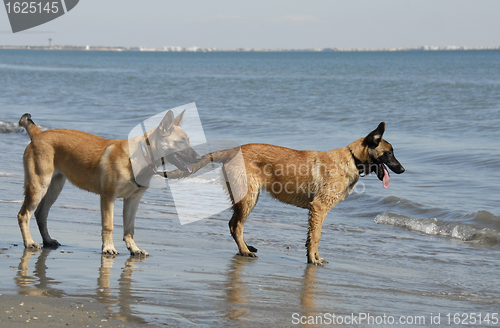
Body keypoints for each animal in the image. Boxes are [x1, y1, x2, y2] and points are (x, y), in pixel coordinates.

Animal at [17, 111, 201, 255]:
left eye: (188, 140)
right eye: (181, 142)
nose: (199, 158)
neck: (140, 155)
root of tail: (38, 134)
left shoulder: (132, 200)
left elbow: (129, 229)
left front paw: (134, 249)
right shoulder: (108, 197)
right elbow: (108, 225)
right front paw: (108, 248)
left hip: (54, 188)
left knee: (41, 214)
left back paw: (47, 240)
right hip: (39, 187)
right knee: (24, 214)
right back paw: (29, 242)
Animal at [170, 121, 404, 266]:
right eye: (389, 153)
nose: (402, 170)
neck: (352, 158)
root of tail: (233, 150)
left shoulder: (316, 211)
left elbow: (311, 237)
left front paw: (313, 257)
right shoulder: (319, 208)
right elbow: (316, 236)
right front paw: (314, 260)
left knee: (232, 224)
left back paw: (245, 248)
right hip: (249, 198)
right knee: (236, 225)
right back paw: (245, 251)